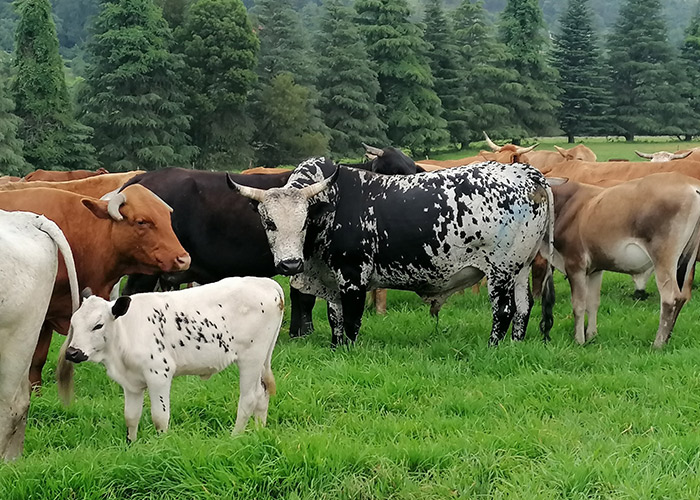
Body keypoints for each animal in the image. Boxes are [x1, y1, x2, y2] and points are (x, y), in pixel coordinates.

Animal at [61, 277, 284, 441]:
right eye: (73, 323)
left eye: (98, 325)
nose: (72, 352)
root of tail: (266, 283)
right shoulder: (131, 384)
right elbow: (131, 417)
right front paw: (130, 445)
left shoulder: (159, 374)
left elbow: (160, 417)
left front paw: (161, 446)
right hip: (261, 360)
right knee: (262, 393)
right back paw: (259, 432)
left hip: (251, 358)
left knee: (249, 398)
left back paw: (235, 437)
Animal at [228, 157, 555, 347]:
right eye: (268, 222)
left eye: (304, 220)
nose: (290, 264)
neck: (332, 204)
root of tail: (527, 173)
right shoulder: (332, 281)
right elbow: (335, 319)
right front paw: (335, 347)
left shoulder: (353, 277)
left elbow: (351, 320)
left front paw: (348, 350)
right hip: (521, 268)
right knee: (524, 308)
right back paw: (515, 345)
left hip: (500, 271)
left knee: (504, 310)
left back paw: (493, 346)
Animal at [545, 173, 700, 348]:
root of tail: (691, 184)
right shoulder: (595, 269)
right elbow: (593, 303)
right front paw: (591, 336)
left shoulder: (575, 265)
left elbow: (578, 304)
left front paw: (579, 340)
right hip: (687, 259)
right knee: (682, 297)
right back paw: (666, 339)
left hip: (664, 259)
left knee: (670, 298)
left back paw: (658, 343)